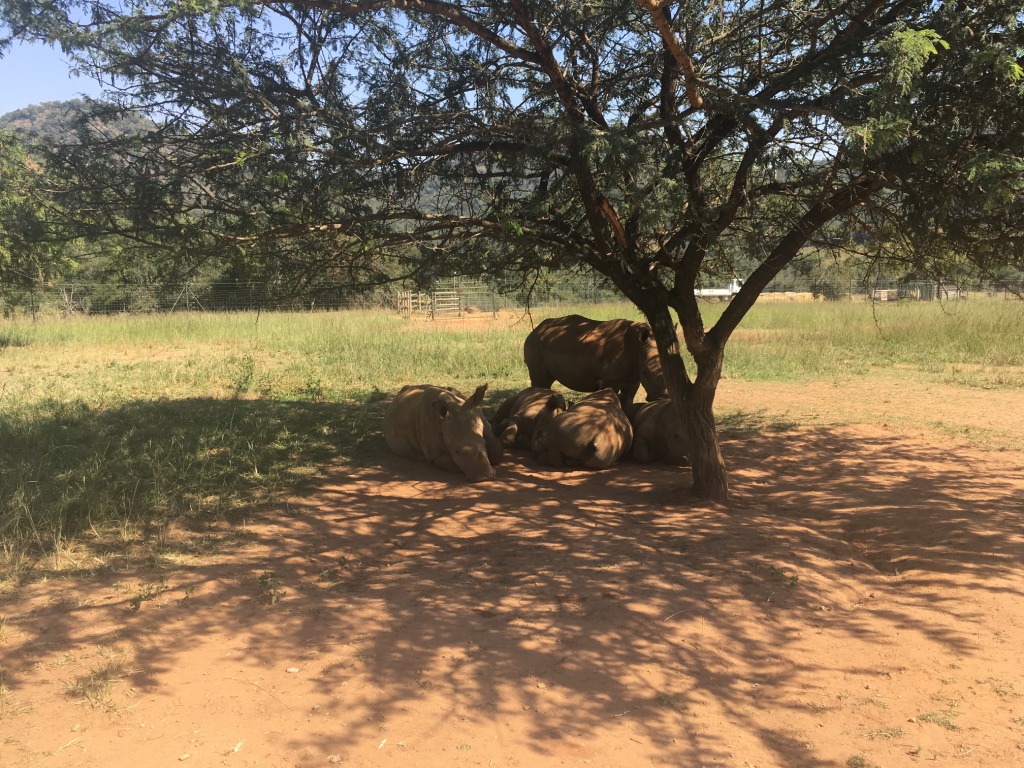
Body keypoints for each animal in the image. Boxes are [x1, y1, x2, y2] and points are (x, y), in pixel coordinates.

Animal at [523, 315, 667, 406]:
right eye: (645, 372)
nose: (662, 398)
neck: (637, 345)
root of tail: (536, 329)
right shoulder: (610, 378)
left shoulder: (633, 377)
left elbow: (628, 402)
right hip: (535, 342)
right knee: (541, 381)